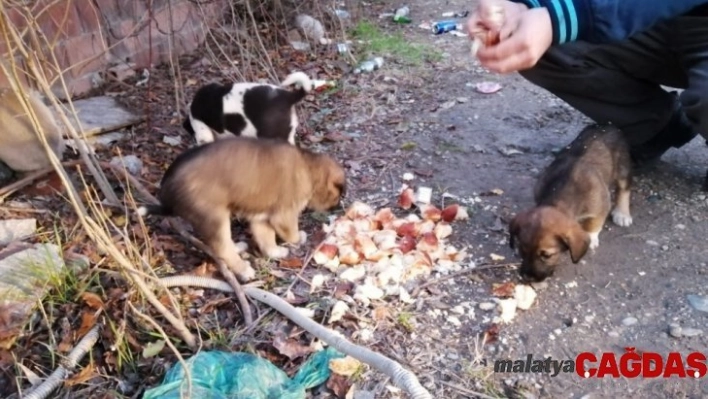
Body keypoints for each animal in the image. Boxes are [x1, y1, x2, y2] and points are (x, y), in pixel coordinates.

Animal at [138, 137, 346, 282]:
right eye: (338, 195)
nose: (338, 207)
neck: (309, 169)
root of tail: (167, 195)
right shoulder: (284, 214)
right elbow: (290, 232)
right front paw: (299, 239)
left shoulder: (262, 218)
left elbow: (266, 239)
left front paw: (275, 252)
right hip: (215, 216)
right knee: (221, 248)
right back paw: (244, 270)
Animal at [506, 123, 632, 282]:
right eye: (522, 250)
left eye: (547, 255)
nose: (527, 278)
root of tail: (607, 125)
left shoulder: (600, 206)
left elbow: (594, 225)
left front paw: (592, 238)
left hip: (623, 166)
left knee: (624, 188)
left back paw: (623, 214)